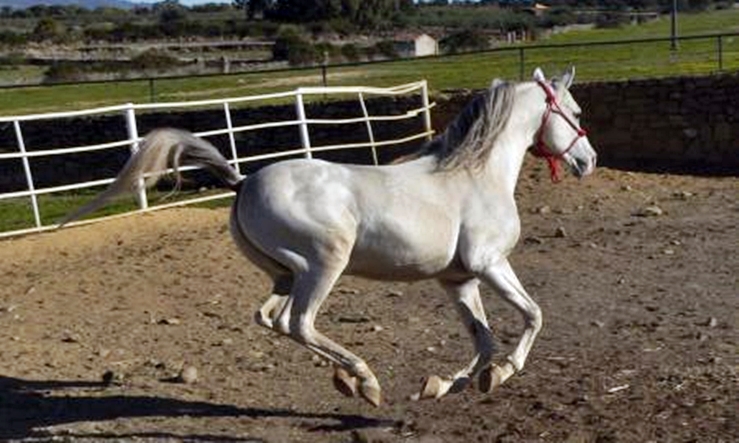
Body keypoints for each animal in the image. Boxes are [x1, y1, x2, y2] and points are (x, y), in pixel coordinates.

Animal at [63, 67, 596, 408]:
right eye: (573, 110)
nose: (587, 161)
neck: (475, 175)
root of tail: (243, 183)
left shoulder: (458, 279)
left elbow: (483, 339)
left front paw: (449, 384)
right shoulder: (489, 264)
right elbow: (533, 315)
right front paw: (501, 374)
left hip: (285, 274)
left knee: (270, 319)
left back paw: (348, 379)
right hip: (324, 264)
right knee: (298, 323)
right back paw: (365, 382)